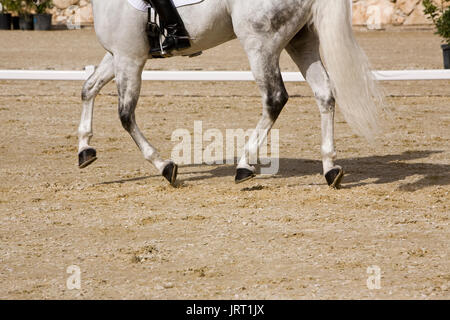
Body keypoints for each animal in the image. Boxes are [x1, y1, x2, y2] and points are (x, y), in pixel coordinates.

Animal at [77, 0, 384, 189]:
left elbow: (125, 116)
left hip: (260, 43)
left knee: (275, 98)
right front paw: (84, 150)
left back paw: (244, 165)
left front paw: (165, 167)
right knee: (324, 94)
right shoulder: (117, 55)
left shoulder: (129, 58)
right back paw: (330, 169)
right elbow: (88, 88)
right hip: (301, 39)